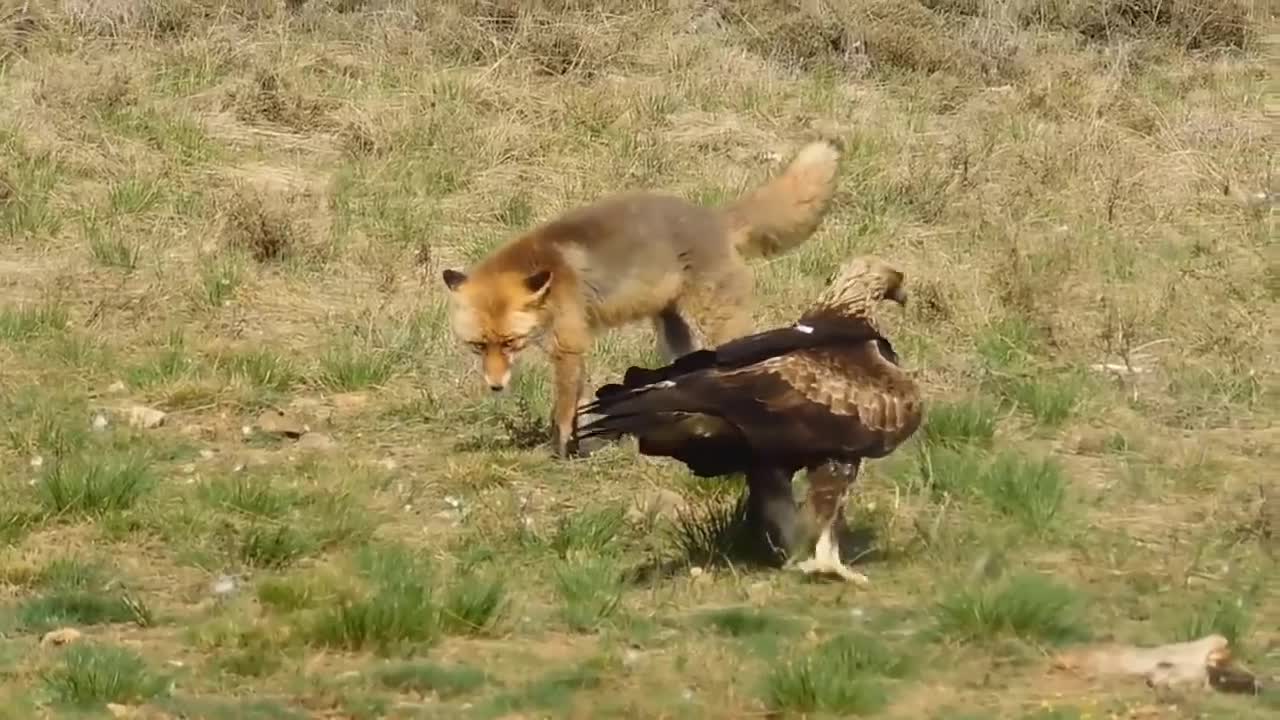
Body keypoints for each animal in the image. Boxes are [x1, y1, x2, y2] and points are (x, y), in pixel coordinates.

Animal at [445, 137, 844, 456]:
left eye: (509, 343)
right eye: (479, 346)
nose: (495, 387)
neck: (549, 269)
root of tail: (714, 218)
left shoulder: (569, 344)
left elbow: (563, 410)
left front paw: (560, 452)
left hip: (715, 321)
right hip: (672, 329)